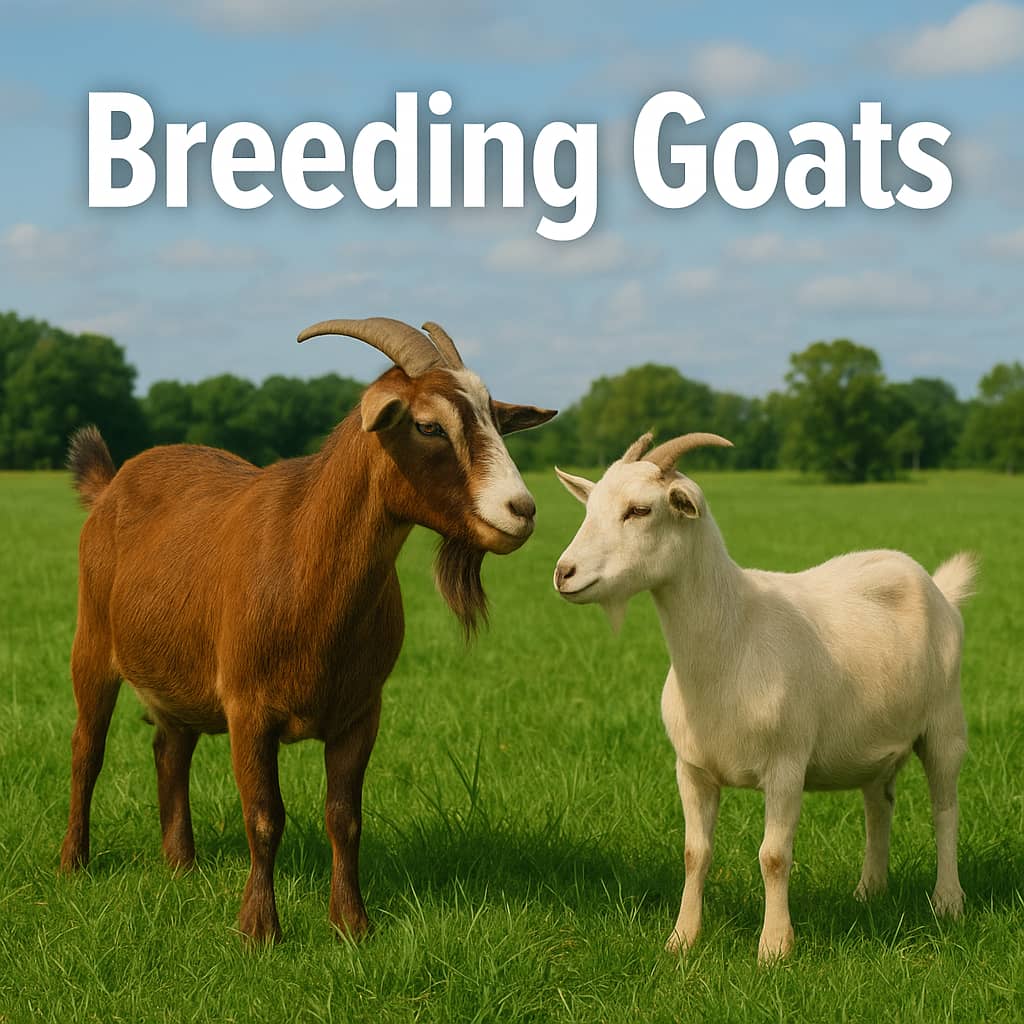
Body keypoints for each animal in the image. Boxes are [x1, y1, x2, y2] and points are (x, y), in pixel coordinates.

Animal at [61, 316, 555, 943]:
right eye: (427, 426)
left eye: (494, 417)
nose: (521, 510)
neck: (304, 559)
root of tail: (109, 486)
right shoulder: (248, 707)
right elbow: (264, 816)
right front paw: (259, 930)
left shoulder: (361, 712)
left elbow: (344, 817)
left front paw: (352, 924)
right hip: (93, 642)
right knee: (87, 748)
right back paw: (73, 863)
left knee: (169, 748)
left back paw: (181, 864)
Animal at [553, 432, 975, 962]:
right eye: (590, 508)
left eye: (639, 510)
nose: (564, 573)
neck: (733, 637)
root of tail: (938, 588)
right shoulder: (692, 768)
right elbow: (694, 853)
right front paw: (681, 940)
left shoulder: (786, 765)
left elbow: (774, 856)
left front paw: (774, 947)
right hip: (875, 743)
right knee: (878, 805)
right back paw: (869, 891)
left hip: (945, 722)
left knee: (946, 809)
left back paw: (948, 902)